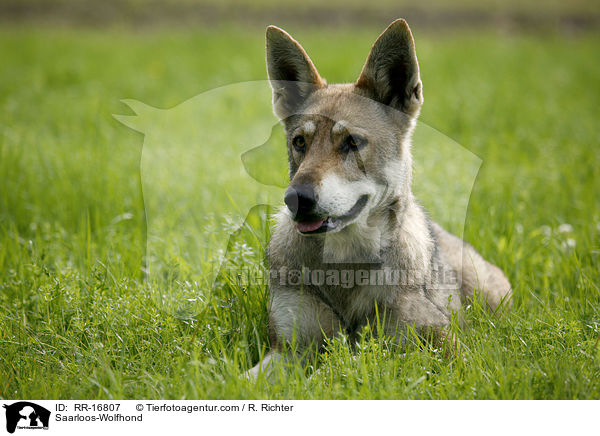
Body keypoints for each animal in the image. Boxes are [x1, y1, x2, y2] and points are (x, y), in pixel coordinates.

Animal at [246, 18, 512, 378]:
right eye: (299, 142)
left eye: (352, 142)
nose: (296, 199)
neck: (345, 264)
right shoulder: (286, 350)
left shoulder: (442, 344)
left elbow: (336, 369)